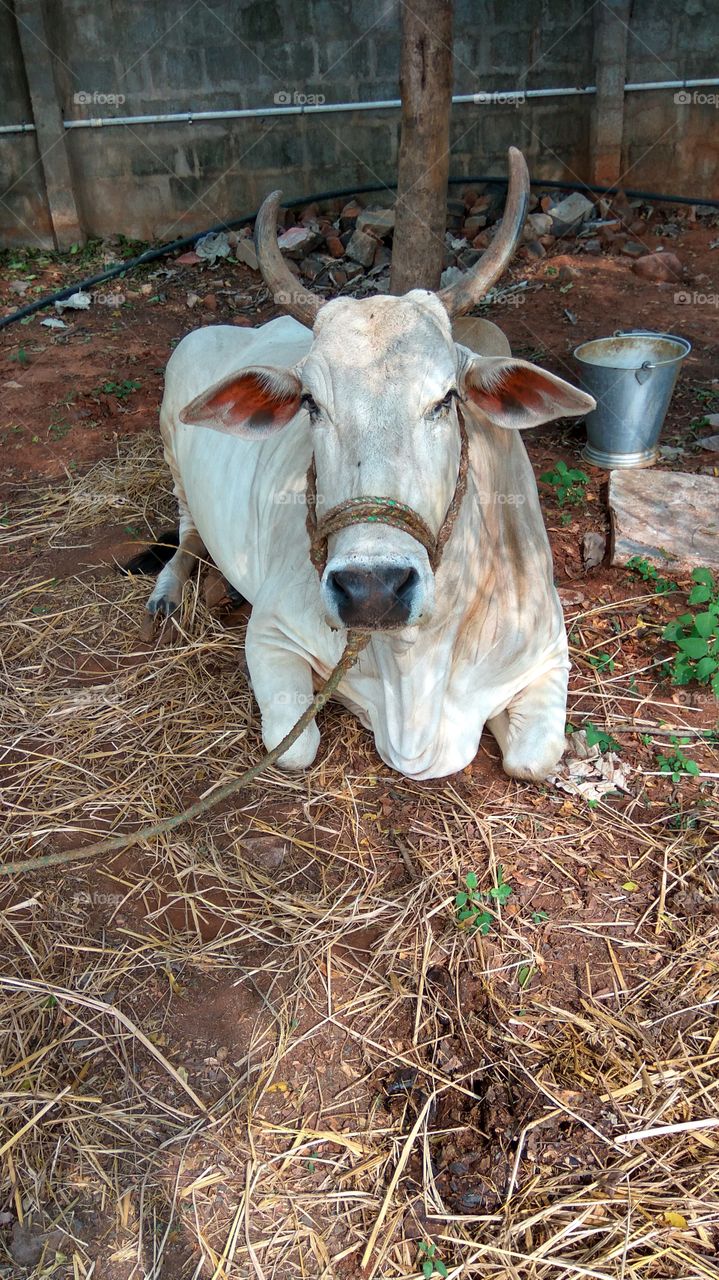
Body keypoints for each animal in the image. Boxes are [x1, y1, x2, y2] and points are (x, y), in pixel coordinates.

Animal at [146, 149, 595, 781]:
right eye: (311, 403)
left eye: (446, 398)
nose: (373, 589)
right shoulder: (272, 635)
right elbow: (295, 747)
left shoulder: (549, 654)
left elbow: (532, 758)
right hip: (171, 443)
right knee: (186, 532)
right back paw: (167, 591)